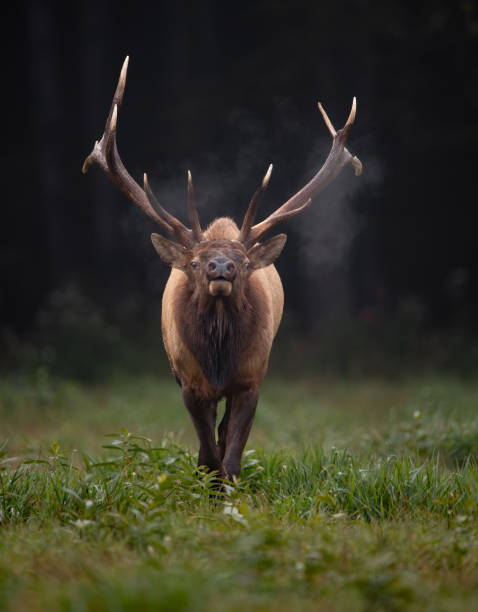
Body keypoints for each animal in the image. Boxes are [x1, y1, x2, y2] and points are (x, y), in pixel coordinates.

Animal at [82, 57, 360, 480]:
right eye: (196, 261)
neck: (218, 359)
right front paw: (206, 479)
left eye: (243, 263)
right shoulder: (188, 380)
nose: (222, 267)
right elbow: (209, 450)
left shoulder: (251, 378)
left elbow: (230, 454)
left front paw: (228, 486)